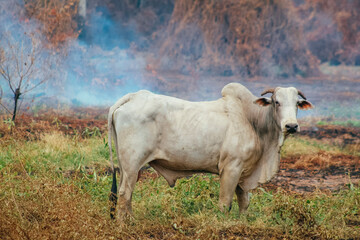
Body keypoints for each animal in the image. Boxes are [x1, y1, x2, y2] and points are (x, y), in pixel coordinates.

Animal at [107, 82, 312, 219]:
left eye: (297, 104)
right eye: (276, 102)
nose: (291, 126)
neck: (252, 121)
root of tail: (133, 96)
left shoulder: (243, 171)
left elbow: (244, 202)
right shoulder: (231, 168)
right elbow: (225, 203)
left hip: (128, 168)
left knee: (126, 194)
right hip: (132, 164)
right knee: (124, 193)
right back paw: (124, 224)